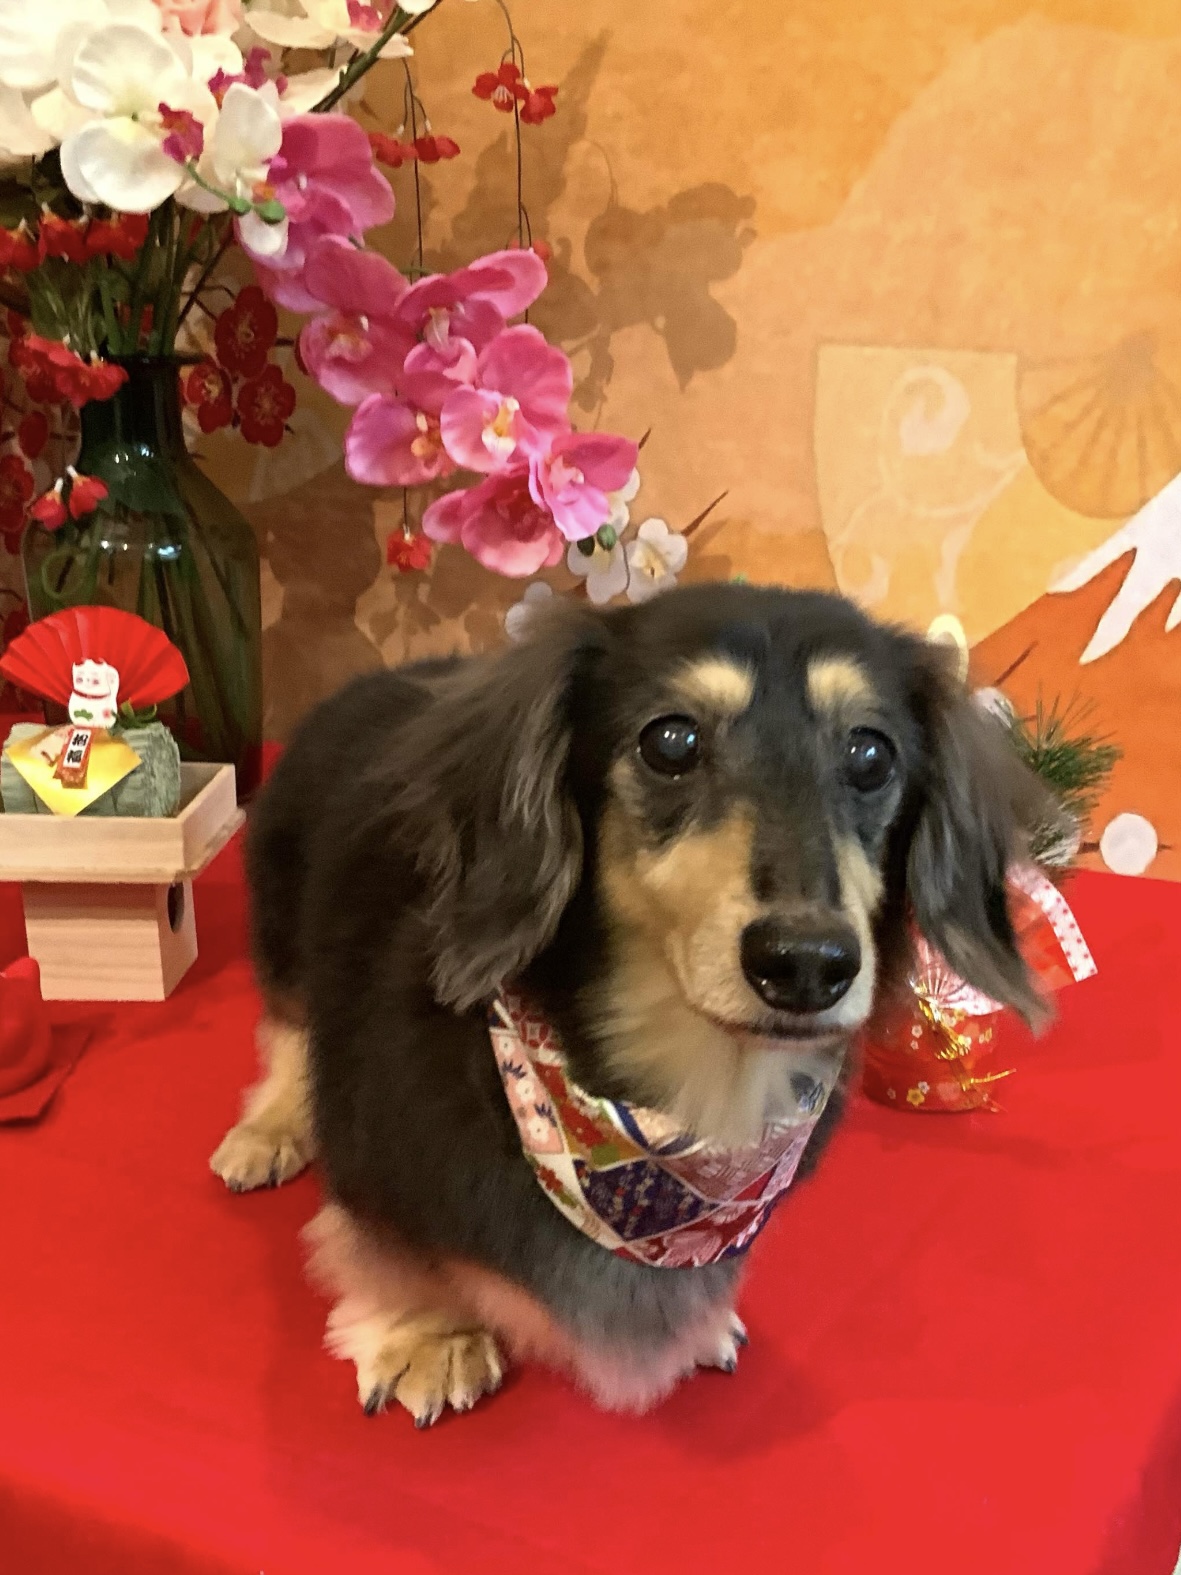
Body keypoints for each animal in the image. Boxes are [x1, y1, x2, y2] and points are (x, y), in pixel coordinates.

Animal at [211, 582, 1061, 1426]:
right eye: (670, 742)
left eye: (871, 753)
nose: (806, 963)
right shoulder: (377, 1144)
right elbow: (396, 1246)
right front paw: (430, 1331)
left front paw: (702, 1318)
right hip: (281, 930)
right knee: (285, 1034)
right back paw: (269, 1129)